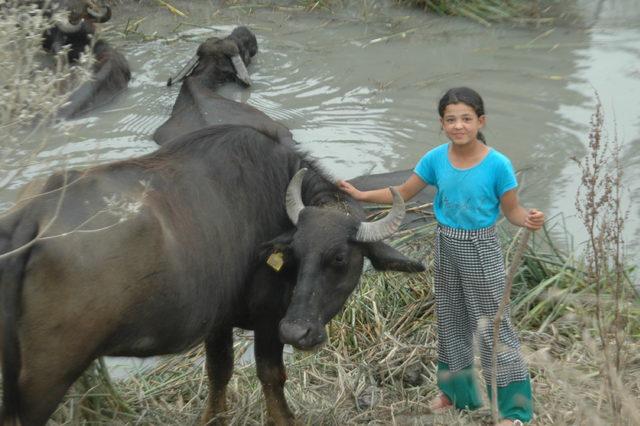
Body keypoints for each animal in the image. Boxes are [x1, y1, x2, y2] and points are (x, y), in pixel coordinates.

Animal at [0, 125, 424, 424]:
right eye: (296, 253)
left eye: (339, 257)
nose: (297, 331)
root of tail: (31, 218)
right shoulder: (269, 319)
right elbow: (271, 374)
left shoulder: (218, 323)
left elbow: (218, 372)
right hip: (45, 378)